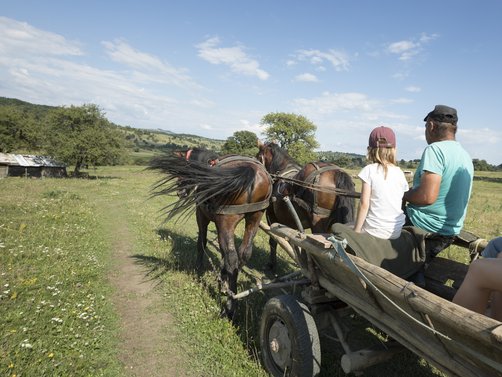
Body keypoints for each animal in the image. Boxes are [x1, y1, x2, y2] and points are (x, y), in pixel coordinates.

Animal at [149, 150, 272, 318]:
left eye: (184, 171)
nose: (180, 192)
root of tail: (251, 172)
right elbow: (222, 252)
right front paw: (222, 275)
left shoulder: (201, 215)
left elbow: (202, 242)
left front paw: (199, 269)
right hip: (255, 217)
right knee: (243, 254)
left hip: (227, 220)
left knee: (232, 258)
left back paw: (229, 306)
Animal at [256, 140, 354, 268]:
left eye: (258, 157)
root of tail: (336, 173)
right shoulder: (291, 220)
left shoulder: (271, 215)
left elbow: (274, 239)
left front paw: (272, 264)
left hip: (318, 223)